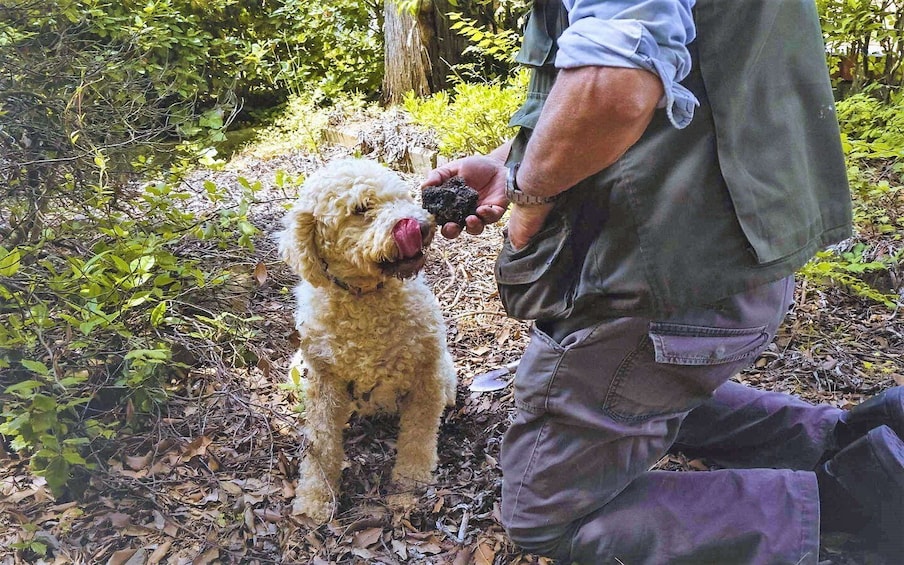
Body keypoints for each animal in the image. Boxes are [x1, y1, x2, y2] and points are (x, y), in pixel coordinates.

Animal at [278, 158, 460, 520]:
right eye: (361, 209)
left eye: (403, 196)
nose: (418, 226)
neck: (366, 298)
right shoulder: (323, 383)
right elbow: (320, 444)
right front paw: (315, 498)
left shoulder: (425, 374)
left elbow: (417, 436)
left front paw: (410, 484)